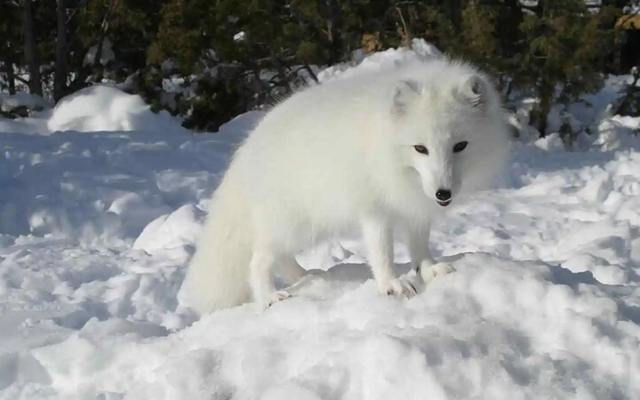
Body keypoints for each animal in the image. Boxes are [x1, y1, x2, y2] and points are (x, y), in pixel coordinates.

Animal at [180, 57, 510, 314]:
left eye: (460, 146)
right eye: (420, 148)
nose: (443, 193)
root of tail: (248, 146)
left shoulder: (414, 207)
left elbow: (420, 245)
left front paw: (429, 269)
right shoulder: (375, 210)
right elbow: (382, 253)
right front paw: (391, 284)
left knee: (281, 257)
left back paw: (306, 275)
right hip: (291, 223)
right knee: (258, 260)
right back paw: (270, 297)